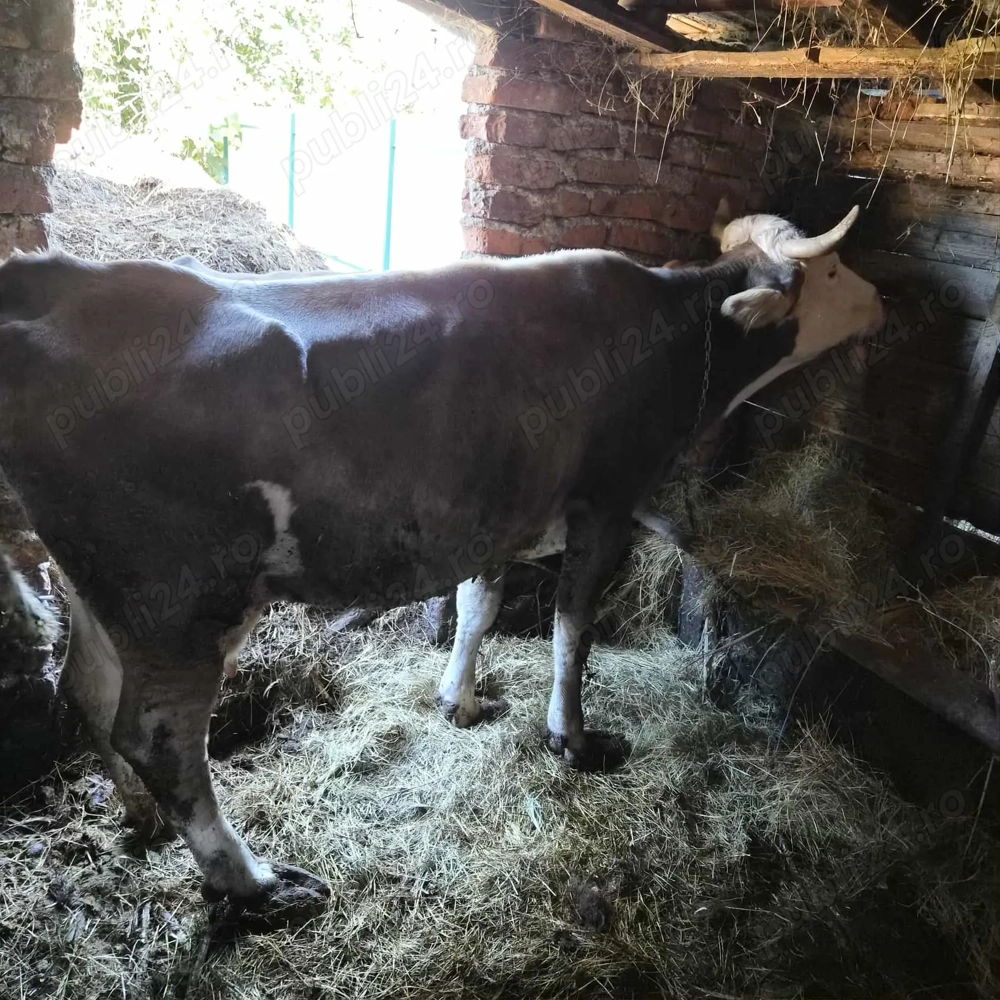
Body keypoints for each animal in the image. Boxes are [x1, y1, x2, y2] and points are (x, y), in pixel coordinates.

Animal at [0, 204, 883, 919]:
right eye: (835, 268)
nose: (883, 299)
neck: (672, 336)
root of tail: (60, 282)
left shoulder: (490, 513)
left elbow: (475, 610)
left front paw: (457, 701)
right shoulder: (606, 503)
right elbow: (573, 631)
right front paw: (572, 738)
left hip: (103, 589)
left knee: (88, 692)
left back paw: (142, 821)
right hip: (182, 595)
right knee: (159, 736)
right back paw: (252, 882)